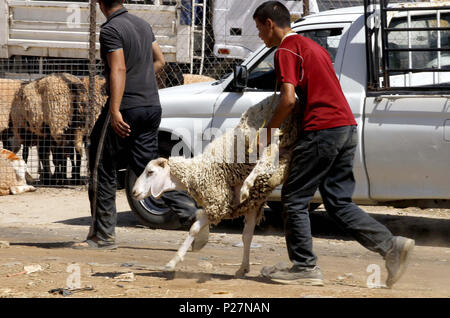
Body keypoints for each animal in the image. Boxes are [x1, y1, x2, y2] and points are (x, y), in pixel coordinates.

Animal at [132, 94, 298, 276]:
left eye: (150, 172)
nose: (134, 192)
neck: (197, 172)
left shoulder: (217, 202)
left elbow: (195, 228)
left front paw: (172, 262)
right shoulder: (249, 205)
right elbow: (245, 235)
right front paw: (243, 268)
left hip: (269, 132)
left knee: (268, 154)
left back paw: (248, 183)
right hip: (287, 139)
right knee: (279, 156)